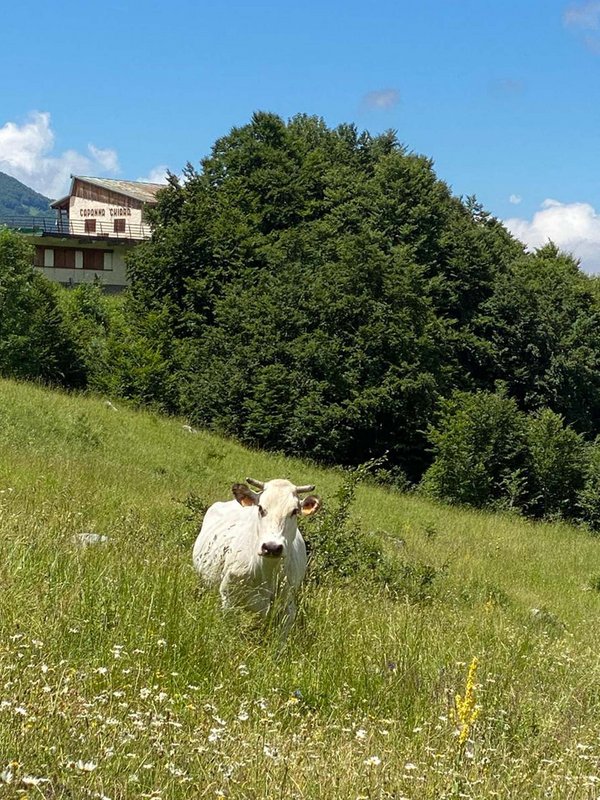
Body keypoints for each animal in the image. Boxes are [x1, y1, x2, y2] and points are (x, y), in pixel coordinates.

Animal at [195, 478, 322, 636]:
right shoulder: (228, 597)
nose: (272, 547)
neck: (267, 570)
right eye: (261, 508)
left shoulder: (287, 607)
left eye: (294, 511)